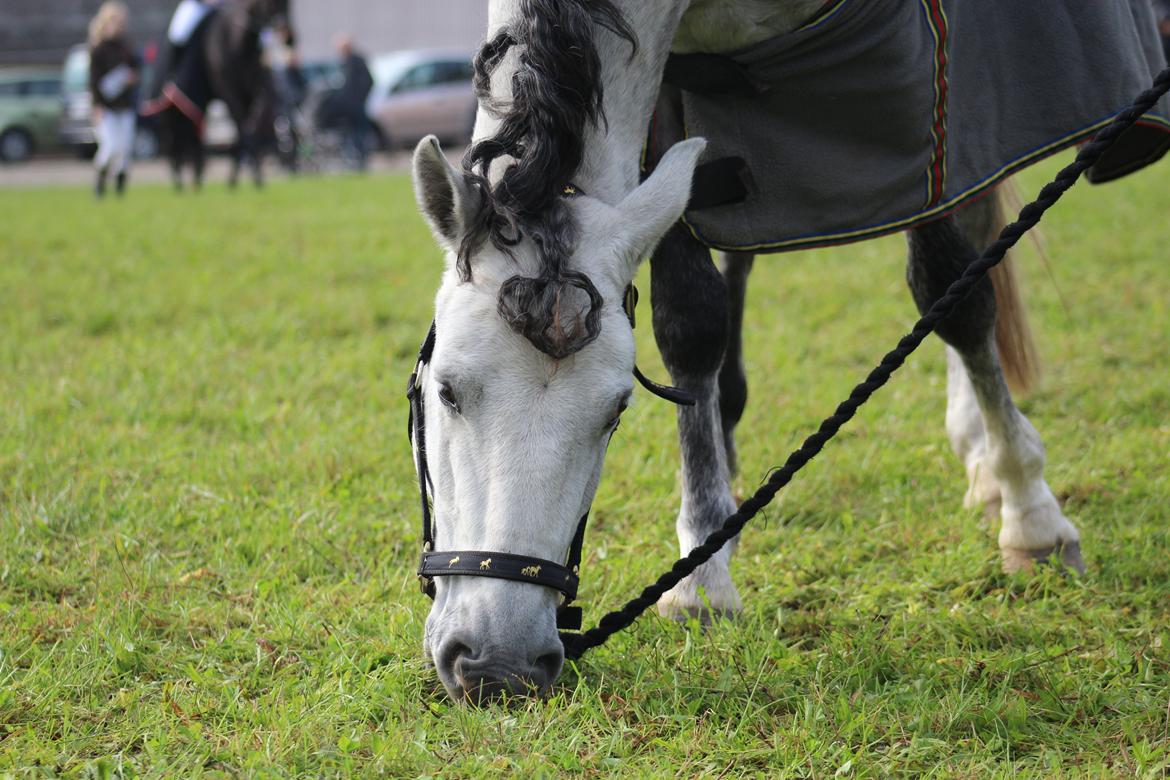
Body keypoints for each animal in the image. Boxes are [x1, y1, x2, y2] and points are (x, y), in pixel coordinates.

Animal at [147, 0, 291, 189]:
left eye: (289, 4)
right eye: (270, 3)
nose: (287, 35)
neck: (239, 43)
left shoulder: (255, 94)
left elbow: (249, 129)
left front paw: (247, 176)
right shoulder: (230, 94)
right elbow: (243, 130)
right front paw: (243, 176)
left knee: (188, 132)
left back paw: (193, 177)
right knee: (174, 134)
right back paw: (182, 177)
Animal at [409, 0, 1170, 706]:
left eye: (616, 412)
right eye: (446, 390)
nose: (498, 662)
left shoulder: (928, 92)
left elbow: (952, 288)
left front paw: (1032, 515)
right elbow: (690, 317)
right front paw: (705, 559)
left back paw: (987, 460)